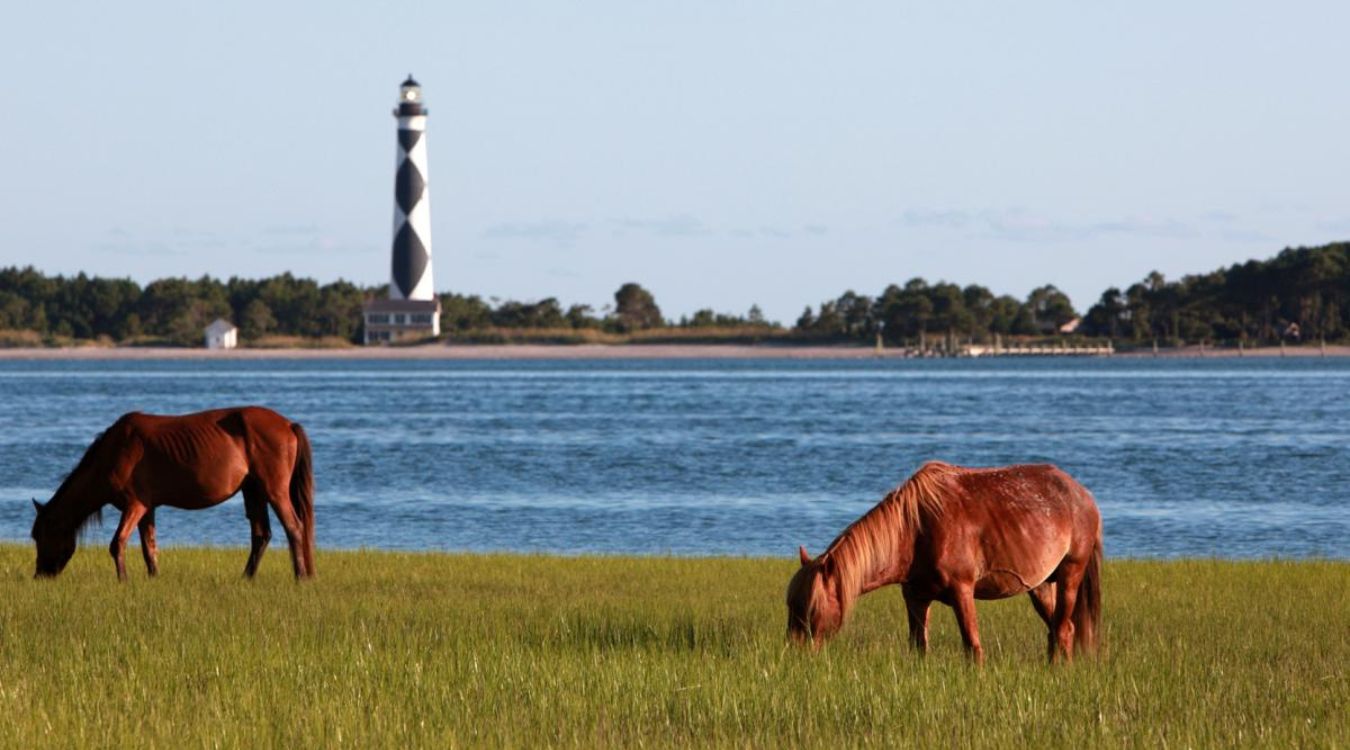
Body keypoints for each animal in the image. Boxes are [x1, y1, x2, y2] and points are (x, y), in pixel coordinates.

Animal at [30, 406, 315, 581]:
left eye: (40, 535)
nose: (40, 575)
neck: (115, 452)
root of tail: (288, 425)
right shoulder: (147, 508)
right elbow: (149, 547)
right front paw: (153, 578)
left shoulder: (134, 505)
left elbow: (117, 543)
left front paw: (123, 580)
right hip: (253, 491)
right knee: (261, 535)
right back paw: (247, 577)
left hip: (274, 490)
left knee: (294, 528)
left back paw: (300, 577)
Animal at [786, 461, 1102, 663]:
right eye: (791, 605)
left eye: (811, 607)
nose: (795, 654)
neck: (914, 531)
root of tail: (1082, 495)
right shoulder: (916, 598)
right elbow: (918, 647)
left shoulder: (962, 591)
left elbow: (972, 646)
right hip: (1040, 586)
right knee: (1061, 631)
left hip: (1070, 574)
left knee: (1062, 630)